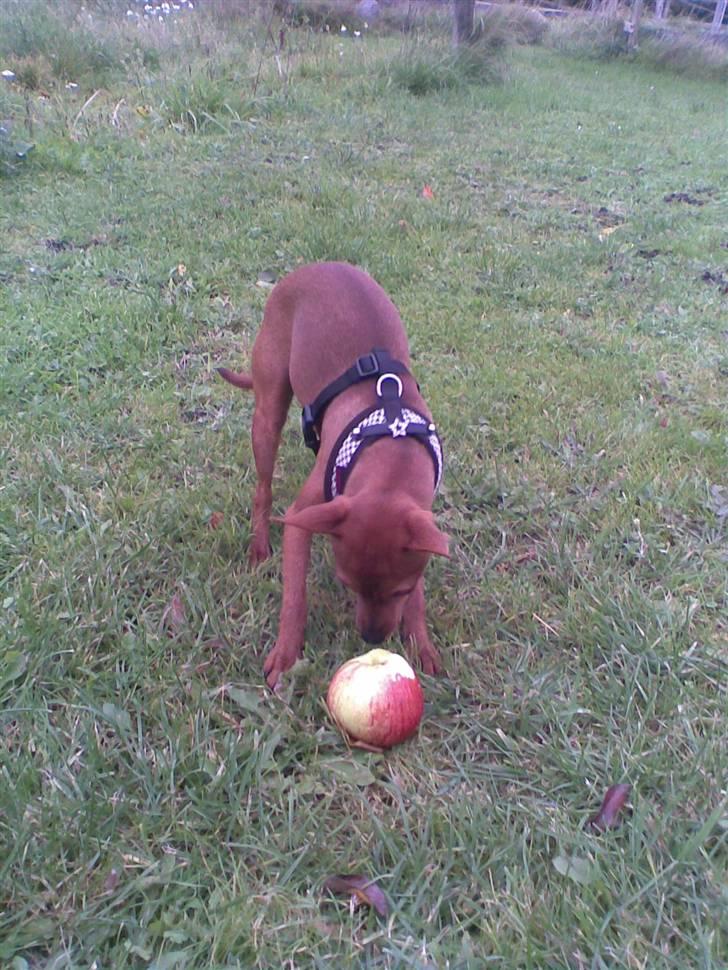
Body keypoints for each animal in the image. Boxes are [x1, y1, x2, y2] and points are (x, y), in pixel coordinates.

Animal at [218, 260, 450, 688]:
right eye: (348, 584)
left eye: (401, 591)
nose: (372, 638)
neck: (391, 443)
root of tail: (314, 266)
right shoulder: (302, 516)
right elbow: (295, 597)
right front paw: (286, 655)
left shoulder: (421, 520)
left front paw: (421, 642)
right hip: (269, 408)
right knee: (263, 488)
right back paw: (259, 545)